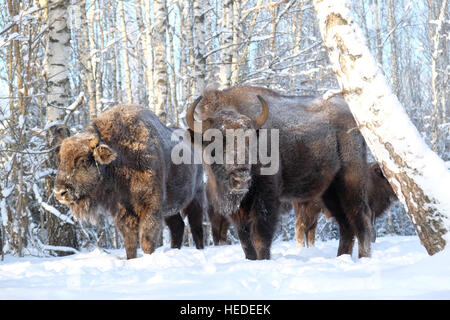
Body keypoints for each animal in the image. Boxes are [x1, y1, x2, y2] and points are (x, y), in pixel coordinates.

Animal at [53, 104, 206, 258]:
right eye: (60, 159)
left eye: (84, 160)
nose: (59, 192)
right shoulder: (123, 212)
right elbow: (130, 242)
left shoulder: (151, 206)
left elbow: (146, 240)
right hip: (171, 209)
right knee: (178, 226)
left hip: (196, 197)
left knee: (196, 227)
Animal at [186, 85, 372, 260]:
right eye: (215, 140)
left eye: (250, 140)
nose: (241, 178)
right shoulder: (239, 212)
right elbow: (246, 243)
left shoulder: (265, 200)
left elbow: (261, 238)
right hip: (328, 193)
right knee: (346, 225)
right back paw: (342, 257)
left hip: (350, 183)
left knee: (360, 219)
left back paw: (363, 257)